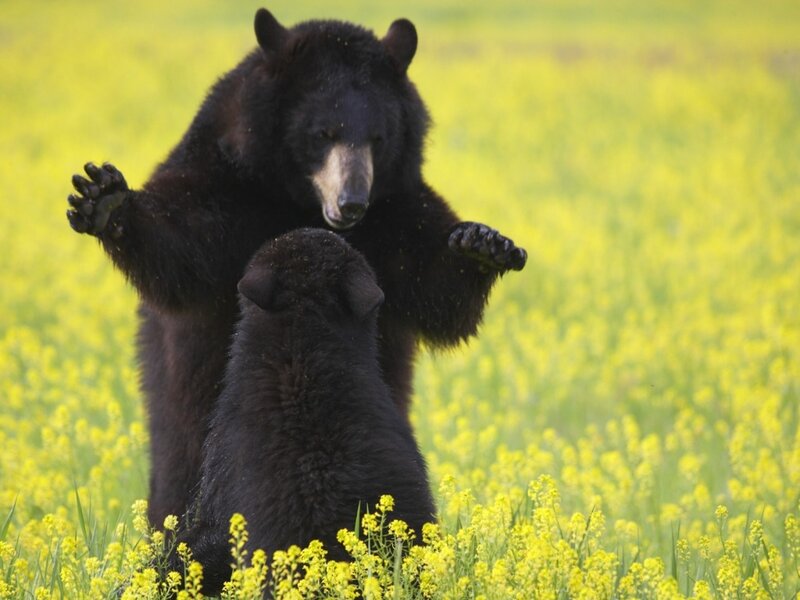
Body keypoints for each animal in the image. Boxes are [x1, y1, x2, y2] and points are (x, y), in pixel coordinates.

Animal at [66, 8, 526, 526]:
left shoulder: (394, 211)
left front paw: (481, 246)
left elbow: (434, 285)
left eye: (378, 137)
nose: (351, 203)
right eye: (323, 133)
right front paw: (106, 201)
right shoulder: (227, 183)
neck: (297, 201)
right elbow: (181, 241)